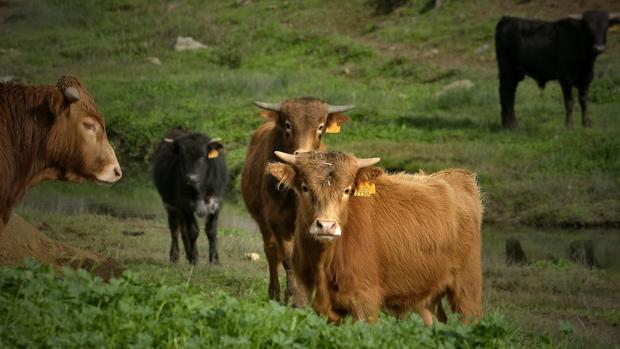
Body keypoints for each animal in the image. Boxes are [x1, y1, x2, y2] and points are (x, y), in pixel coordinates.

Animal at [153, 128, 228, 264]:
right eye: (182, 156)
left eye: (203, 156)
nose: (191, 178)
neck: (200, 190)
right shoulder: (185, 205)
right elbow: (193, 231)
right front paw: (194, 259)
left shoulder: (216, 203)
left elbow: (211, 231)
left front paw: (214, 260)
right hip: (171, 207)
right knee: (175, 230)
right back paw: (176, 255)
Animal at [245, 97, 356, 302]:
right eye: (288, 125)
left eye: (320, 127)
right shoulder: (276, 222)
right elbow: (288, 258)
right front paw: (293, 296)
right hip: (263, 222)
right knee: (271, 252)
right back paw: (274, 292)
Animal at [266, 151, 484, 322]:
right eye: (305, 187)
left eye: (347, 190)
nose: (326, 226)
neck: (324, 262)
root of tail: (457, 177)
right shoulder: (313, 300)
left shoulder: (365, 303)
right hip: (428, 296)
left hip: (467, 287)